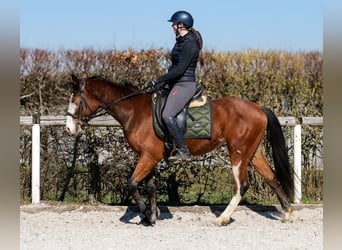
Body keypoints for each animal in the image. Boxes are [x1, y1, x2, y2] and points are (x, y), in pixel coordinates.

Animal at [66, 74, 294, 227]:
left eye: (74, 100)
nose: (69, 129)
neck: (135, 111)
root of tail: (258, 108)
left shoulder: (148, 157)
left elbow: (132, 184)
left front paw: (146, 215)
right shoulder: (149, 157)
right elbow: (151, 187)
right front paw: (153, 215)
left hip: (238, 153)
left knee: (241, 185)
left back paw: (222, 218)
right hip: (253, 153)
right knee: (272, 178)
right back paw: (287, 213)